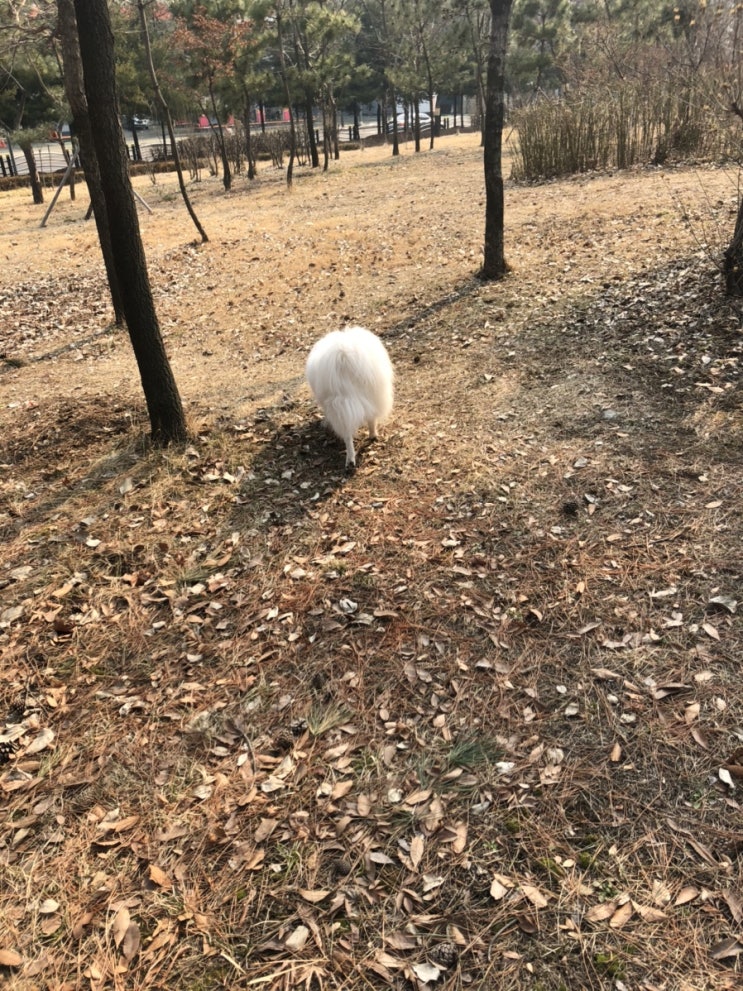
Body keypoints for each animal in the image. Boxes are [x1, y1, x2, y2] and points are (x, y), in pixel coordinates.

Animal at [306, 324, 396, 466]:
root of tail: (345, 355)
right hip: (373, 396)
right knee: (372, 418)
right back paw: (373, 436)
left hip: (340, 404)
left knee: (347, 435)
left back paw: (350, 459)